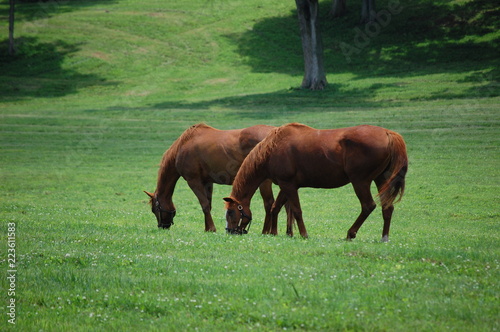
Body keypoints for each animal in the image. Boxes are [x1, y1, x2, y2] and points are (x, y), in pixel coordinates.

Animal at [143, 124, 290, 233]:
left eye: (154, 210)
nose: (162, 226)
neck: (183, 145)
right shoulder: (208, 182)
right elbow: (209, 204)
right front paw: (208, 228)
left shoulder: (193, 181)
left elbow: (204, 205)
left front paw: (211, 228)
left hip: (264, 181)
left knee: (269, 203)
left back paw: (266, 231)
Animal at [225, 123, 408, 243]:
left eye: (231, 213)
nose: (230, 232)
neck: (273, 147)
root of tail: (388, 133)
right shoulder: (286, 185)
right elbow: (275, 207)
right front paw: (274, 233)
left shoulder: (289, 185)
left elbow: (296, 210)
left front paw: (304, 234)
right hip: (382, 179)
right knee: (387, 208)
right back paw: (384, 237)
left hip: (360, 182)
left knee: (368, 206)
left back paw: (351, 233)